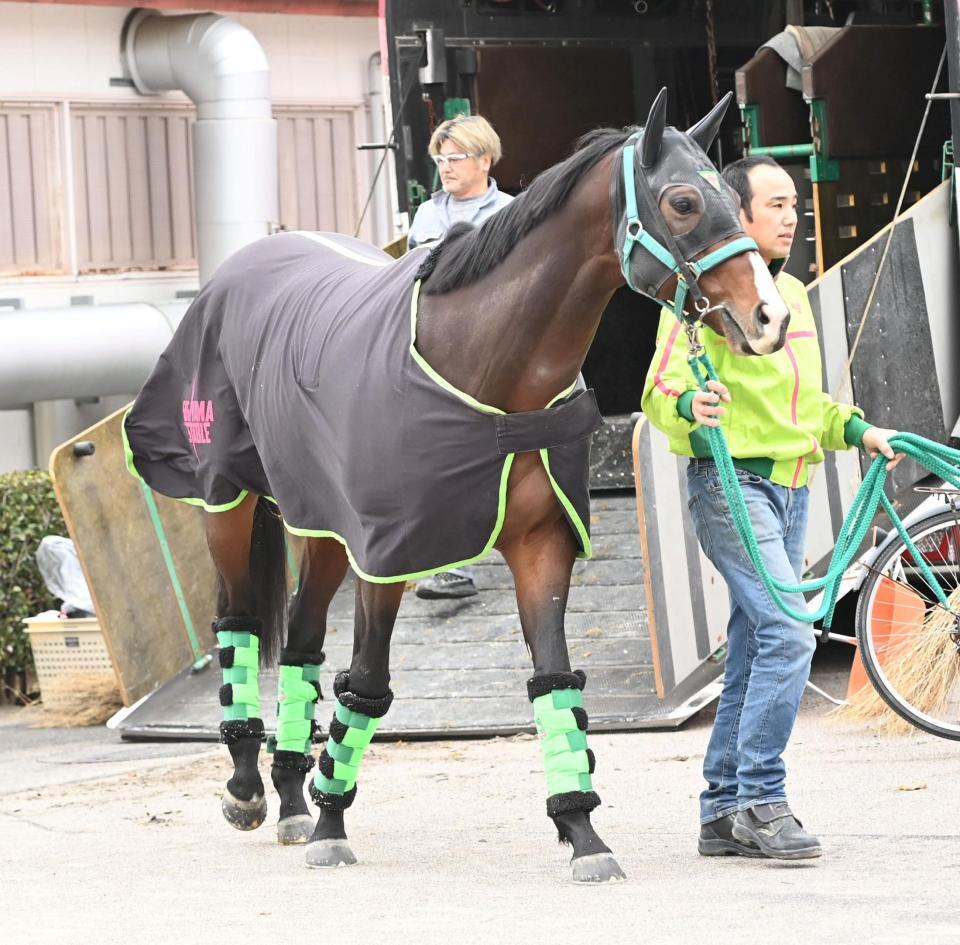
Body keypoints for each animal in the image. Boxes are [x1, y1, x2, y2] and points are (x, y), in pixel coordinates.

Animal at [123, 88, 790, 884]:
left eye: (732, 196)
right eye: (684, 201)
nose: (769, 317)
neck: (482, 364)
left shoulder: (540, 546)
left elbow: (554, 683)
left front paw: (583, 833)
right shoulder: (388, 554)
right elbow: (367, 682)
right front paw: (333, 823)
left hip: (321, 524)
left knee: (303, 641)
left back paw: (288, 796)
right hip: (227, 499)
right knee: (242, 621)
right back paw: (250, 787)